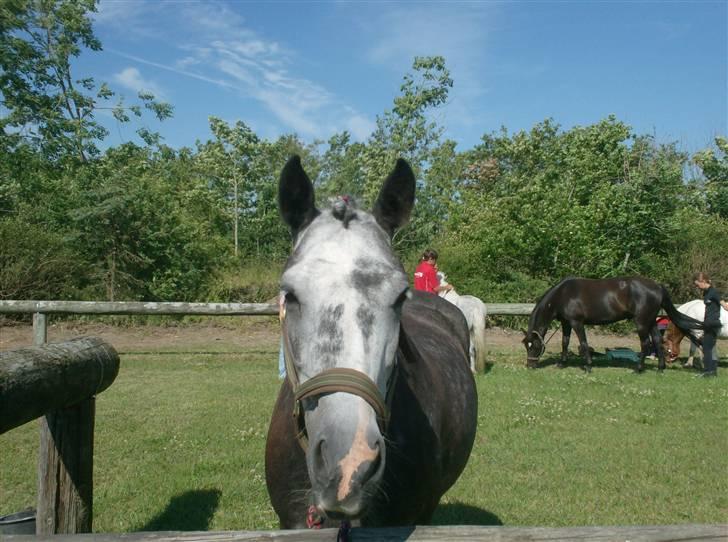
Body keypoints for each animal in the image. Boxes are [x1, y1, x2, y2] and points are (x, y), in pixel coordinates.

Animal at [524, 276, 704, 374]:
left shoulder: (577, 322)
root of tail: (658, 287)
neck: (563, 294)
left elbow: (583, 343)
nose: (530, 365)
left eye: (534, 345)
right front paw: (562, 364)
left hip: (641, 322)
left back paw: (638, 369)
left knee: (645, 343)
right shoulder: (566, 323)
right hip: (651, 321)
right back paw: (660, 368)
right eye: (527, 346)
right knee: (658, 342)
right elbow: (565, 342)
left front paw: (588, 366)